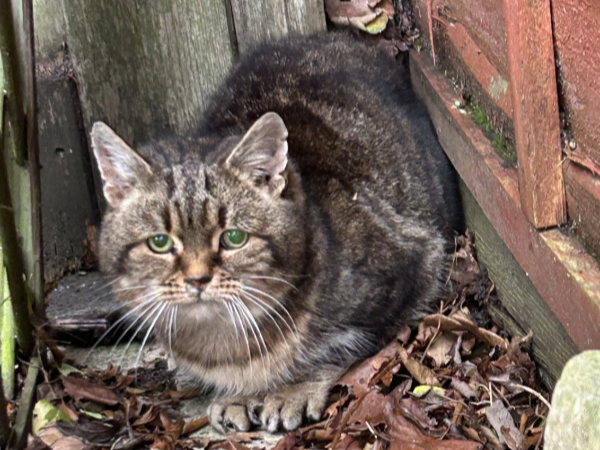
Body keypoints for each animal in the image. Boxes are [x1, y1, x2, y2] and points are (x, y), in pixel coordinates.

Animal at [91, 30, 462, 432]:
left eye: (233, 237)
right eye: (159, 242)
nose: (197, 279)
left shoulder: (414, 269)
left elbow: (337, 349)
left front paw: (290, 389)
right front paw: (239, 394)